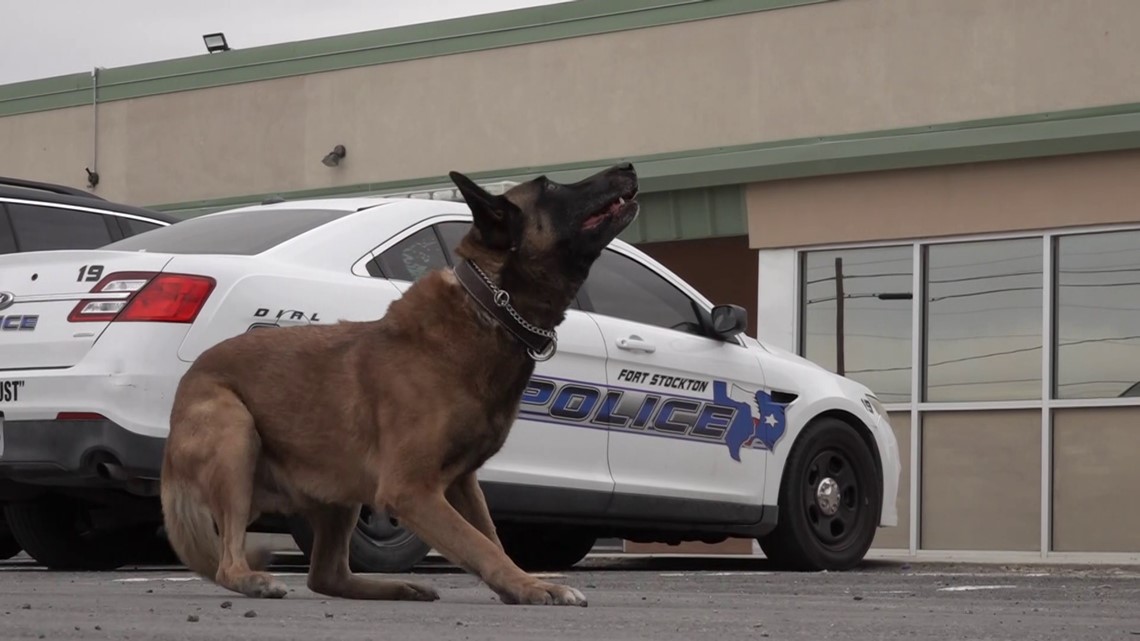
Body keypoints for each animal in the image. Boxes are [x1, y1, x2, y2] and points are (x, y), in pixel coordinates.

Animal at [159, 160, 642, 602]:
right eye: (550, 187)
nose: (628, 166)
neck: (491, 307)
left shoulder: (462, 483)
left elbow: (489, 538)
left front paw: (521, 584)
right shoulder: (412, 490)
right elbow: (479, 544)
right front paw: (530, 586)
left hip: (340, 491)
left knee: (327, 576)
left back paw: (396, 586)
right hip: (236, 436)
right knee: (229, 563)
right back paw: (252, 580)